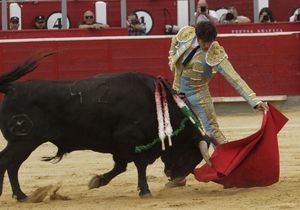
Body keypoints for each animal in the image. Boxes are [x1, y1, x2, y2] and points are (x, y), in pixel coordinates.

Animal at [0, 51, 211, 201]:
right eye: (190, 153)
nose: (174, 177)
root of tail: (13, 88)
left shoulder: (122, 147)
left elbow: (120, 167)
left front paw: (97, 181)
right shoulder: (129, 139)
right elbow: (139, 165)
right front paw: (145, 191)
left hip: (22, 143)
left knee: (13, 165)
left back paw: (22, 196)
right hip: (23, 141)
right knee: (7, 162)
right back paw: (16, 194)